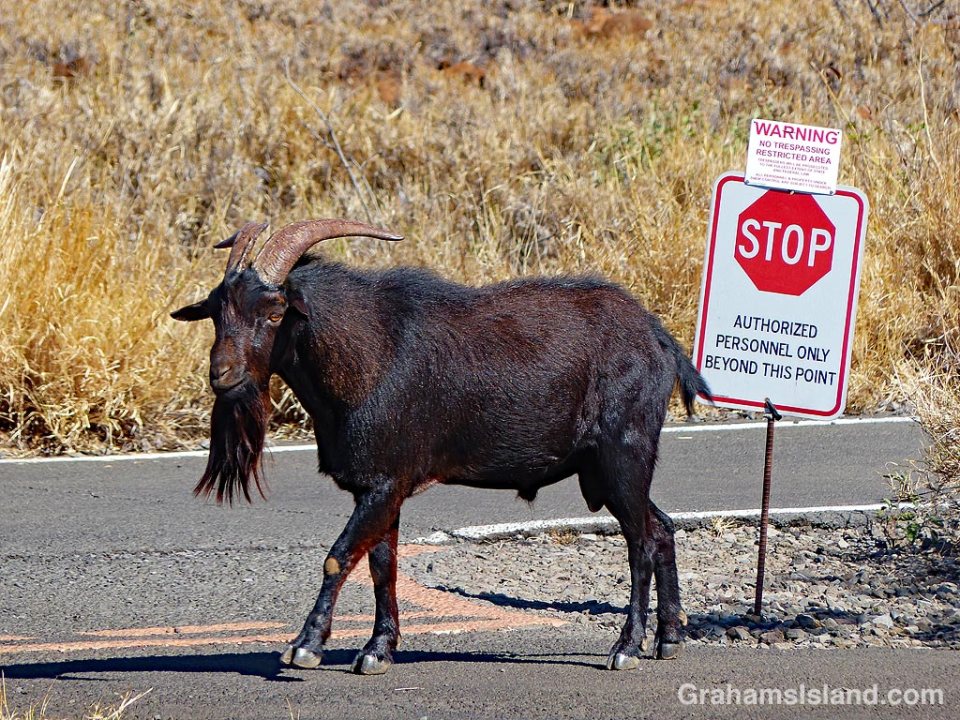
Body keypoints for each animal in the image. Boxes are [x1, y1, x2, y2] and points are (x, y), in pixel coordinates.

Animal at [172, 219, 710, 675]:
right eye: (217, 310)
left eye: (274, 310)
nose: (222, 374)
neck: (368, 354)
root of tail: (661, 340)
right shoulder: (378, 488)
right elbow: (381, 565)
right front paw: (377, 650)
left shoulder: (385, 483)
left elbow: (338, 556)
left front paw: (305, 647)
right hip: (603, 470)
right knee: (661, 528)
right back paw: (668, 639)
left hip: (623, 455)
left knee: (641, 542)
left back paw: (627, 648)